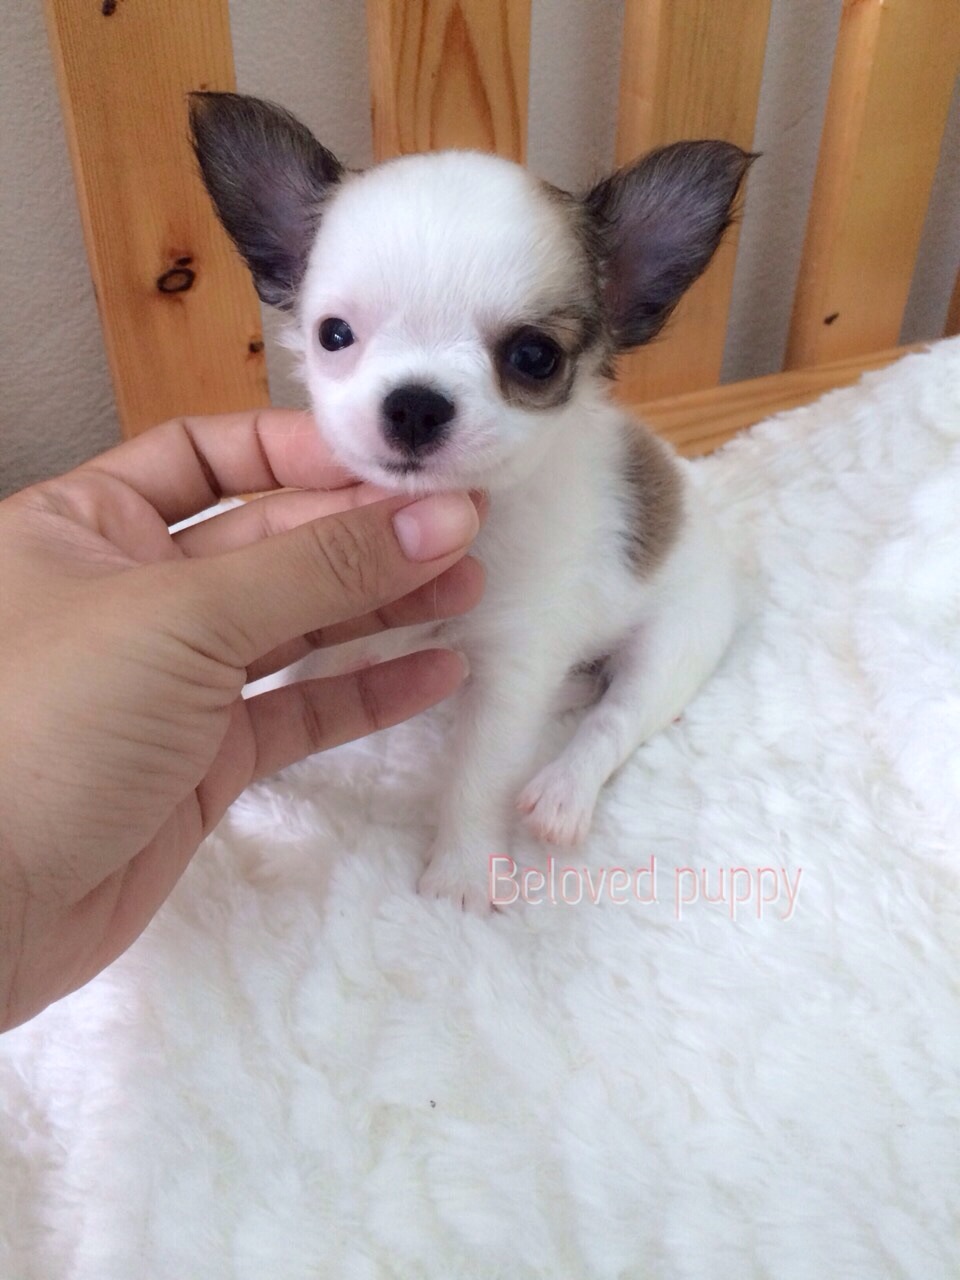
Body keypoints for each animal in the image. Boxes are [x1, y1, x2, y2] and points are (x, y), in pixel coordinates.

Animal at [190, 93, 751, 911]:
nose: (415, 404)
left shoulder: (511, 668)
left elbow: (479, 776)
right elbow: (289, 682)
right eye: (334, 335)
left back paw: (562, 792)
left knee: (616, 719)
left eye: (534, 356)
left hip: (679, 639)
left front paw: (459, 875)